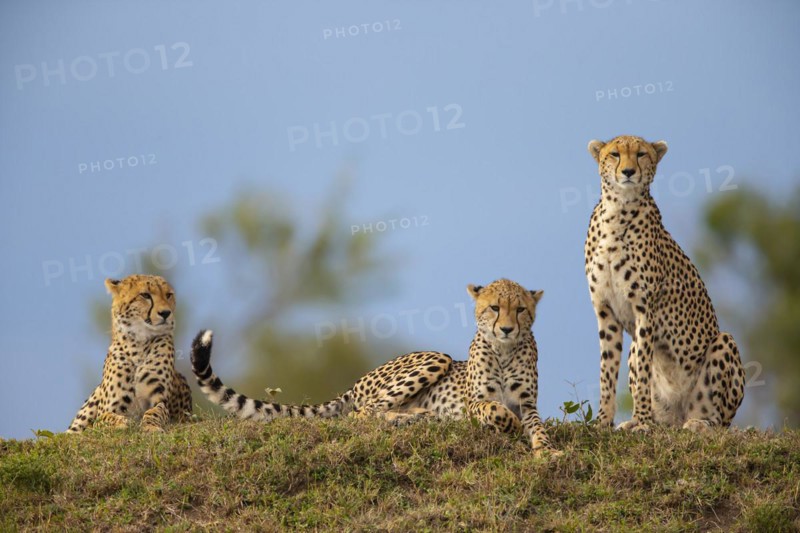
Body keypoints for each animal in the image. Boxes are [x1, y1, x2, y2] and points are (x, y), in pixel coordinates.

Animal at [67, 274, 193, 433]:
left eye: (168, 295)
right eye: (145, 295)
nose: (166, 313)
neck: (138, 343)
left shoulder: (160, 400)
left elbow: (154, 412)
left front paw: (150, 426)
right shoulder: (107, 409)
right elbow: (106, 418)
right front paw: (122, 422)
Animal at [191, 278, 556, 453]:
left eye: (520, 309)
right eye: (494, 308)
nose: (506, 328)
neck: (504, 351)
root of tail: (353, 384)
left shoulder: (528, 404)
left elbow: (537, 426)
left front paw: (547, 451)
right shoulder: (474, 402)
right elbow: (493, 409)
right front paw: (508, 424)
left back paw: (418, 417)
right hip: (435, 358)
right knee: (361, 414)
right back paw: (409, 418)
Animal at [584, 134, 745, 433]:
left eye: (641, 154)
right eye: (614, 154)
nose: (628, 172)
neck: (617, 211)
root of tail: (677, 417)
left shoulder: (644, 311)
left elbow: (644, 372)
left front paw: (643, 423)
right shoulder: (605, 312)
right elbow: (607, 372)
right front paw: (603, 422)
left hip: (724, 344)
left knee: (719, 421)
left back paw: (697, 423)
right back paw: (638, 421)